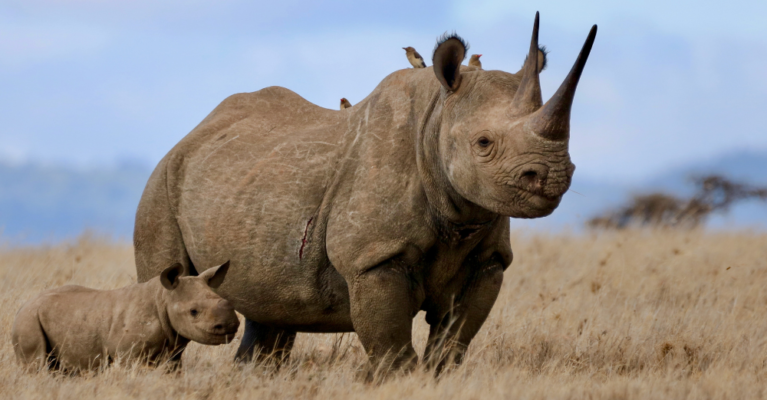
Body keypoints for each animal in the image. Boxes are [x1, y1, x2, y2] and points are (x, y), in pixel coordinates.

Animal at [12, 260, 238, 370]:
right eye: (193, 312)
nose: (230, 326)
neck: (163, 298)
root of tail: (22, 306)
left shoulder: (171, 352)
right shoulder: (128, 354)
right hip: (28, 319)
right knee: (36, 365)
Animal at [135, 13, 596, 376]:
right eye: (483, 143)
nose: (553, 175)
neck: (436, 119)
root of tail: (192, 134)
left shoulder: (488, 259)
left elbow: (453, 342)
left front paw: (439, 378)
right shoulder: (374, 257)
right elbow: (391, 344)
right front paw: (401, 383)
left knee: (269, 308)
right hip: (161, 182)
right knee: (169, 279)